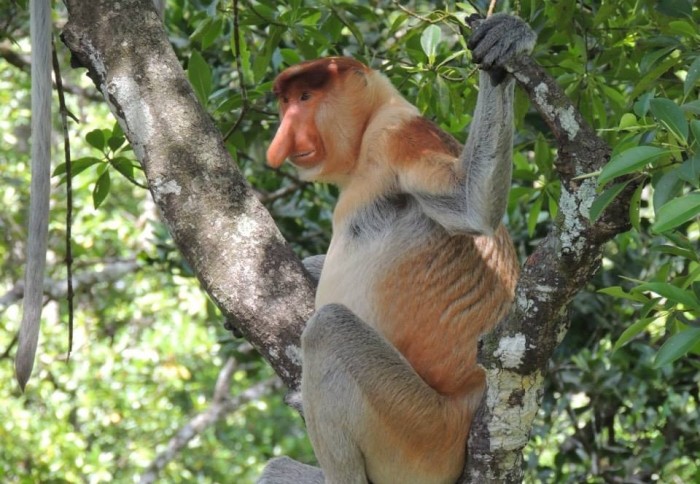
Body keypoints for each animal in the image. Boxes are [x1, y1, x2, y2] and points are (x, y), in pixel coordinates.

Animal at [260, 12, 532, 484]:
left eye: (307, 97)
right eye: (286, 102)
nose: (282, 140)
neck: (367, 133)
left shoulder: (398, 135)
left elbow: (469, 203)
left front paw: (504, 47)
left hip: (420, 432)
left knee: (329, 327)